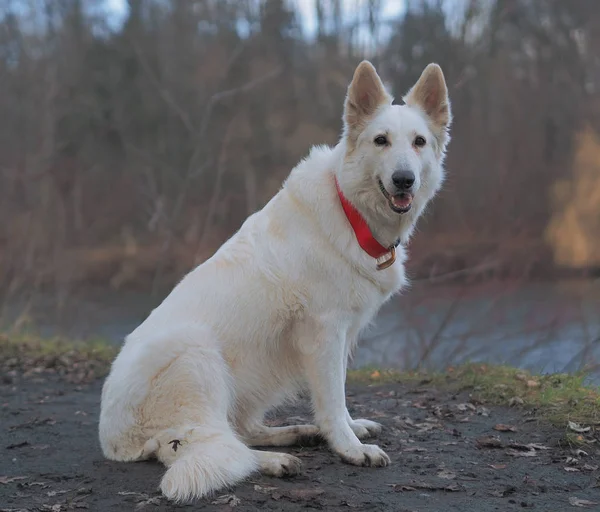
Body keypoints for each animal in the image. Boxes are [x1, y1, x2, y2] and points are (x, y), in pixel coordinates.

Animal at [98, 59, 450, 500]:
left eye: (419, 142)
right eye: (381, 141)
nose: (405, 180)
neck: (350, 211)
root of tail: (113, 442)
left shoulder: (340, 335)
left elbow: (338, 396)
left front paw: (349, 429)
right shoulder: (325, 333)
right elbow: (332, 399)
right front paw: (350, 447)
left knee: (240, 431)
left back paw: (296, 433)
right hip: (197, 355)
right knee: (210, 444)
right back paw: (274, 460)